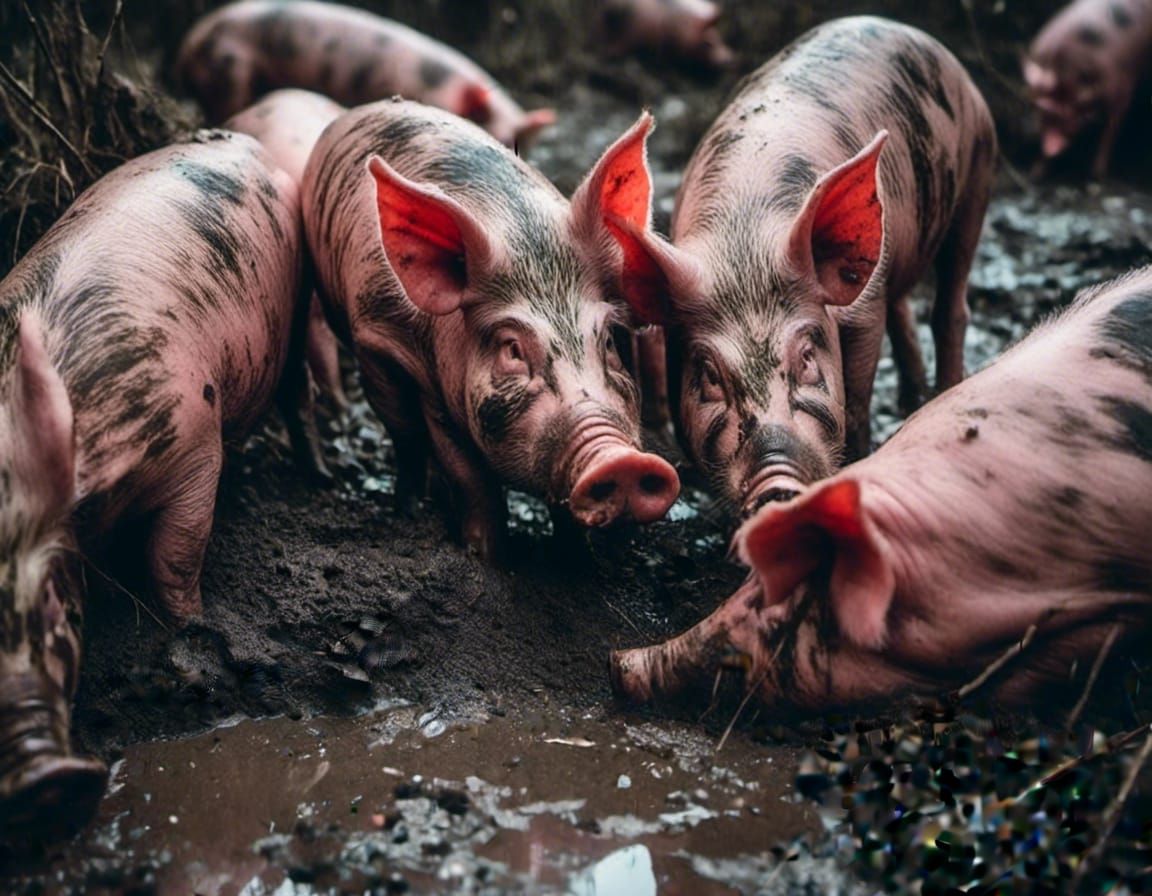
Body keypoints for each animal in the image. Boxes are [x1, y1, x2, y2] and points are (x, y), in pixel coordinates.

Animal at [0, 132, 308, 836]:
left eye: (58, 606)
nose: (39, 782)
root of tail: (243, 140)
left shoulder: (194, 439)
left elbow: (175, 551)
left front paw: (192, 627)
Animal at [302, 99, 681, 560]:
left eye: (608, 340)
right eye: (511, 349)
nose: (622, 462)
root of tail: (355, 112)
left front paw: (577, 560)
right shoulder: (410, 366)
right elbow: (470, 478)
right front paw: (485, 557)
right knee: (405, 437)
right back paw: (411, 509)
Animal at [605, 17, 997, 518]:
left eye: (808, 357)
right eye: (709, 374)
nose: (776, 484)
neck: (746, 242)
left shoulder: (861, 313)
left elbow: (857, 403)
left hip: (978, 173)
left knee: (950, 304)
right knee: (904, 306)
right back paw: (910, 399)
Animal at [1023, 0, 1152, 178]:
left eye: (1071, 116)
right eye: (1045, 109)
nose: (1052, 147)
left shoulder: (1123, 84)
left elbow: (1111, 129)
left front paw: (1097, 174)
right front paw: (1035, 173)